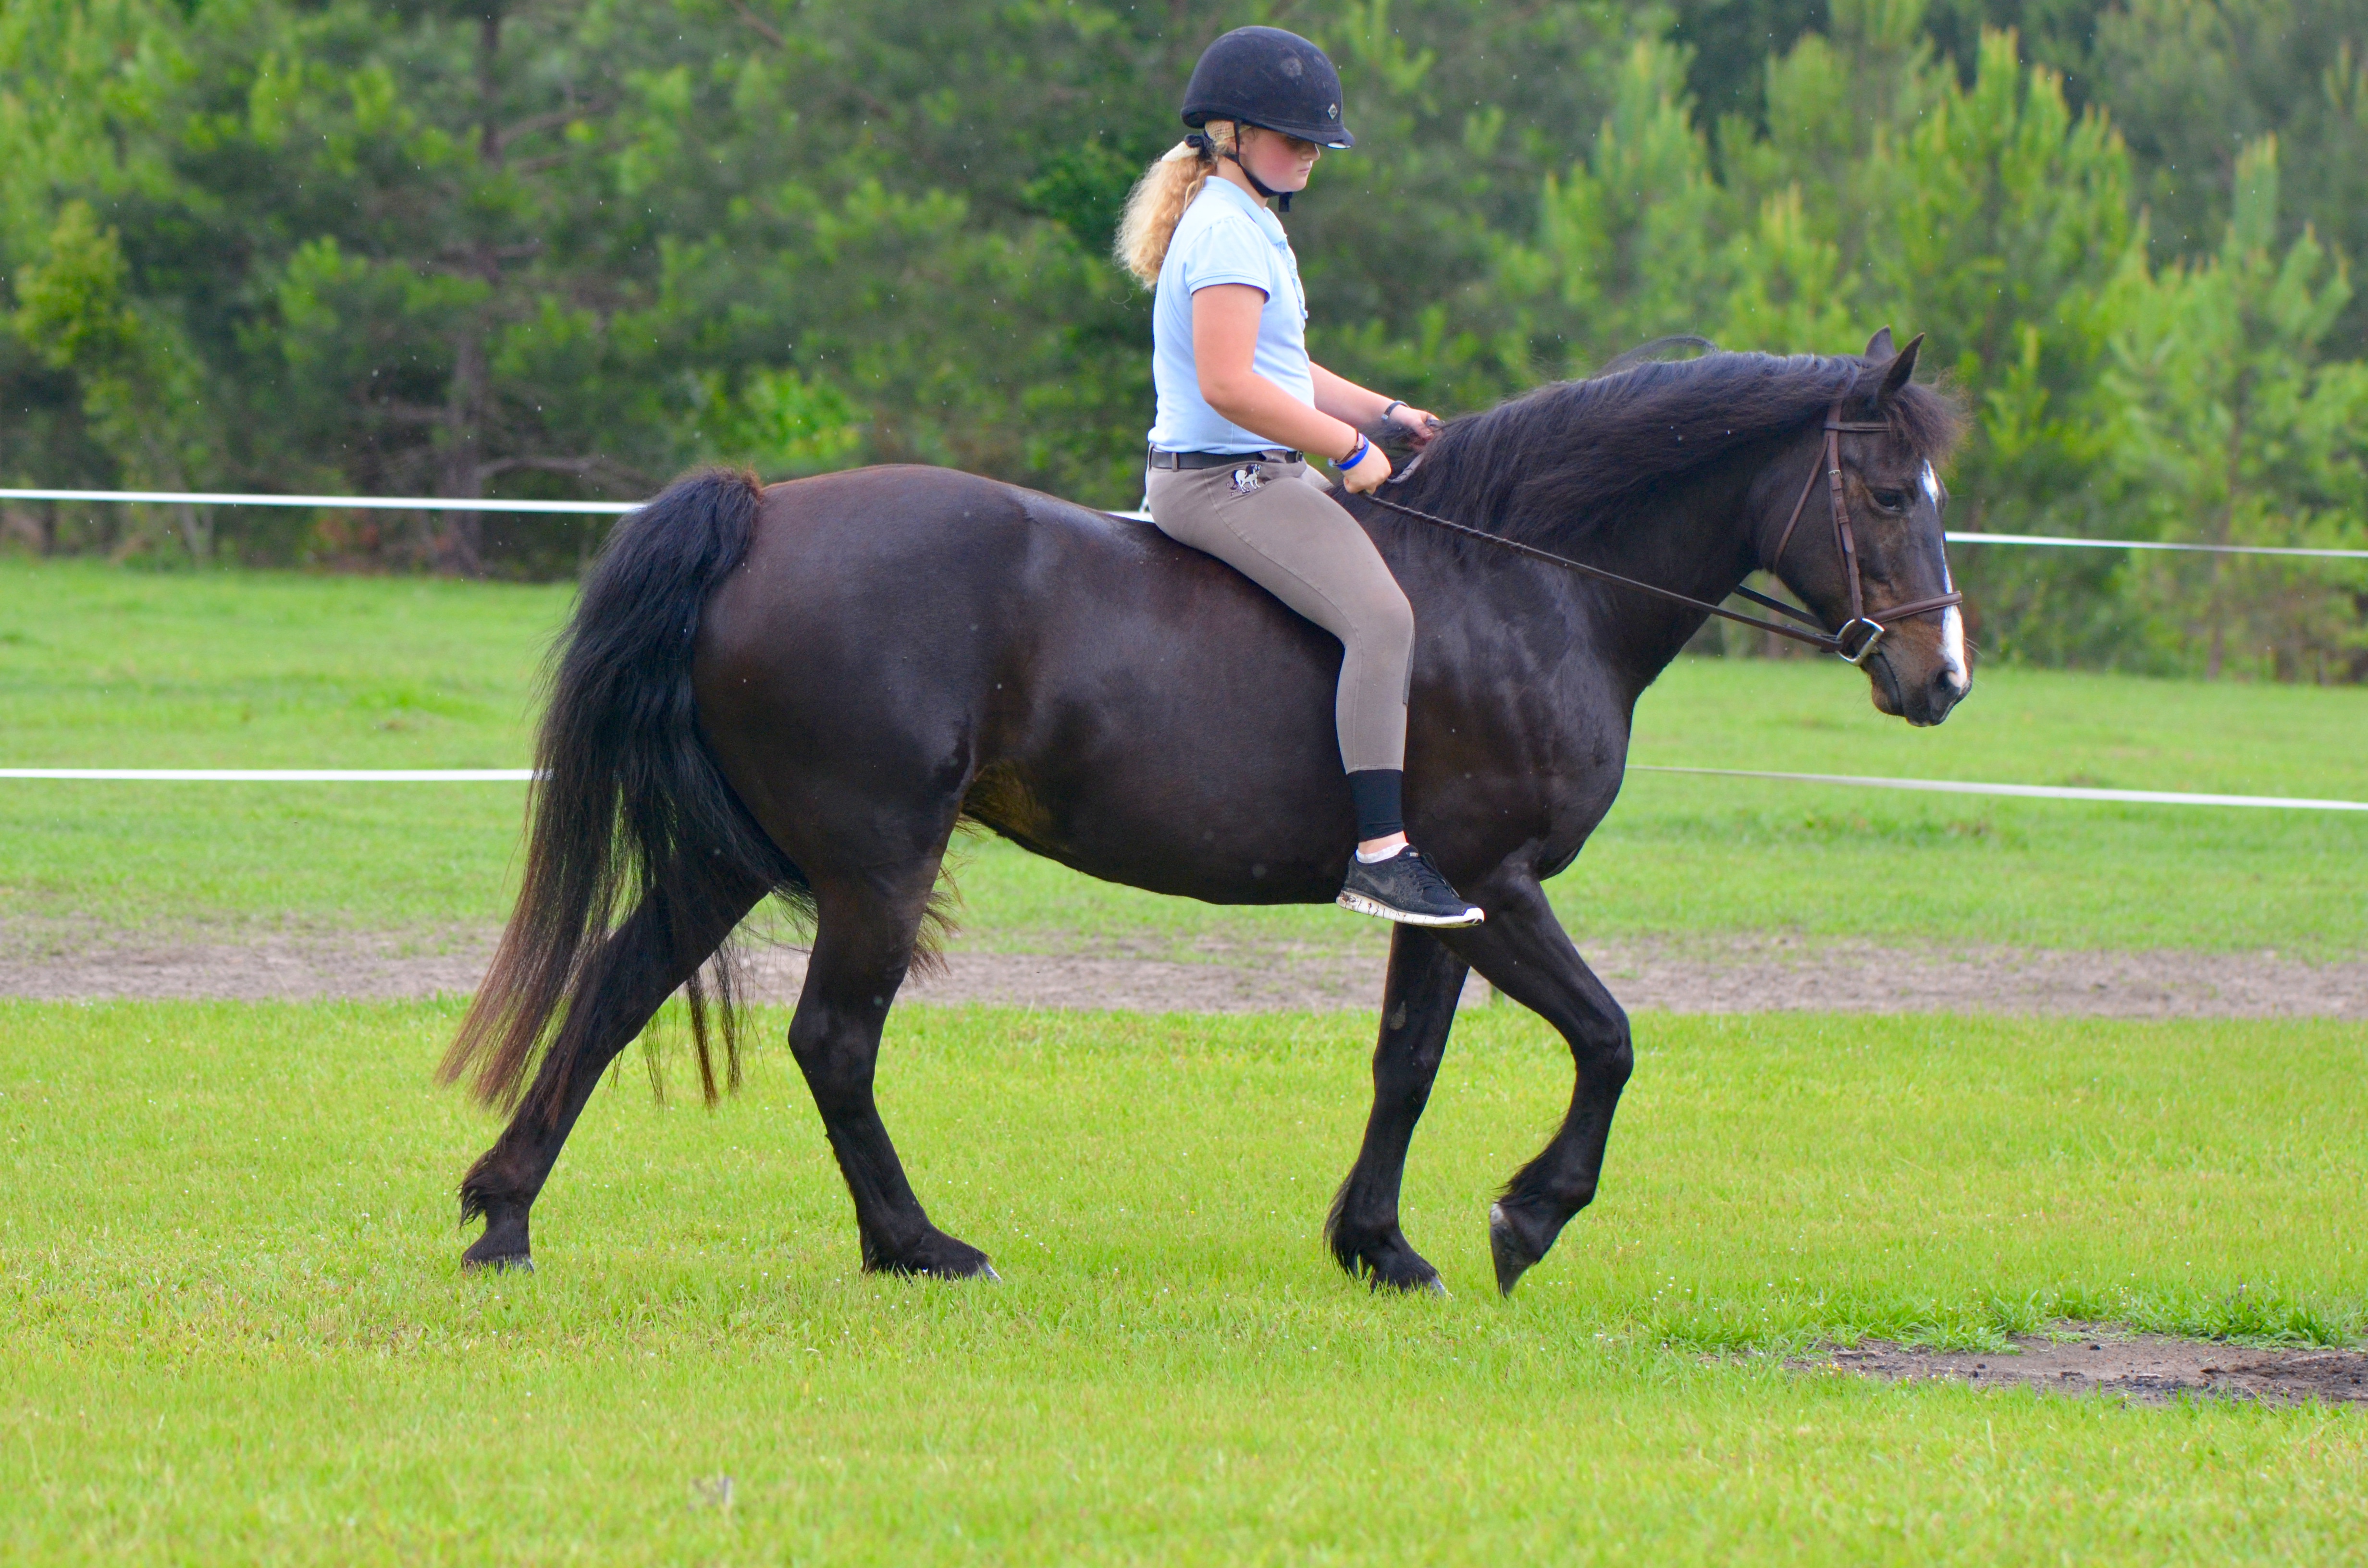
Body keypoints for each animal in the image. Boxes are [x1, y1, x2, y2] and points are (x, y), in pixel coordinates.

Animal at [439, 328, 1968, 1296]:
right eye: (1889, 492)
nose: (1941, 678)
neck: (1529, 586)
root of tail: (762, 514)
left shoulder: (1442, 897)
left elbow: (1407, 1064)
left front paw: (1378, 1248)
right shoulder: (1500, 880)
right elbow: (1609, 1037)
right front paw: (1526, 1219)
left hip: (742, 853)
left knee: (615, 987)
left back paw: (505, 1218)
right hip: (874, 858)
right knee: (833, 1040)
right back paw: (918, 1246)